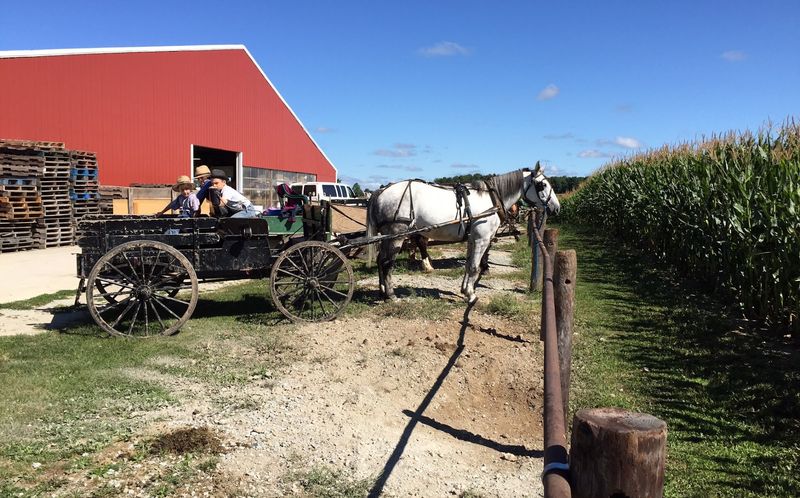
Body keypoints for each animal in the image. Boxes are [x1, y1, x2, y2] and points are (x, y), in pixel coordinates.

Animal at [366, 164, 560, 303]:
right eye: (542, 185)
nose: (556, 208)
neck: (492, 200)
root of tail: (380, 191)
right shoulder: (482, 240)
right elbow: (475, 267)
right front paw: (471, 295)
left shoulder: (473, 239)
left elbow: (468, 265)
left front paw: (465, 290)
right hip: (396, 236)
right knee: (387, 263)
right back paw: (390, 295)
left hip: (387, 236)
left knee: (380, 260)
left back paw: (382, 292)